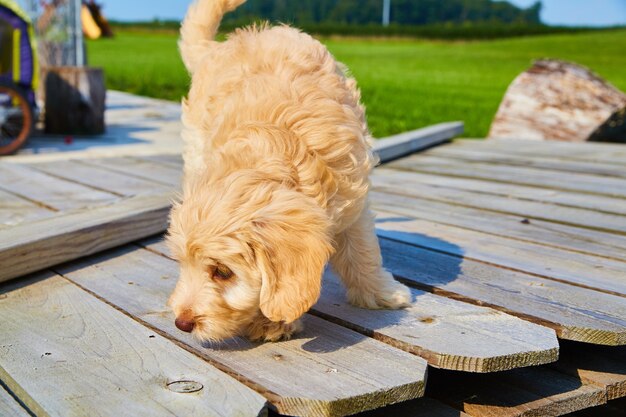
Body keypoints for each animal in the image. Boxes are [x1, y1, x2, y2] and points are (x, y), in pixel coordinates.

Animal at [167, 0, 410, 342]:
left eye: (222, 272)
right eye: (181, 264)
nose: (182, 323)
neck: (276, 151)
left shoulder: (353, 200)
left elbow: (363, 252)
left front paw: (381, 293)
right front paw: (274, 321)